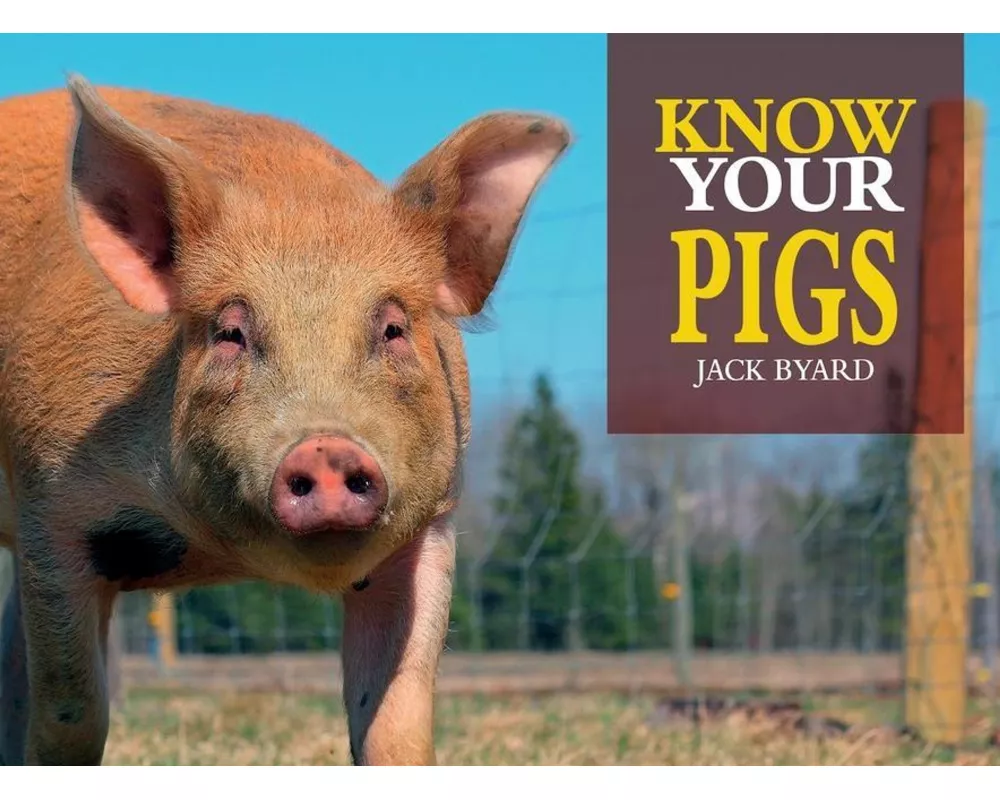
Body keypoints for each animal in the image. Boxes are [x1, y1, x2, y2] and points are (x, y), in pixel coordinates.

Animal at [0, 74, 570, 765]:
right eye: (230, 333)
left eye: (393, 328)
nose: (325, 447)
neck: (218, 556)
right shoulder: (50, 506)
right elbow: (71, 716)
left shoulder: (433, 526)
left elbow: (398, 723)